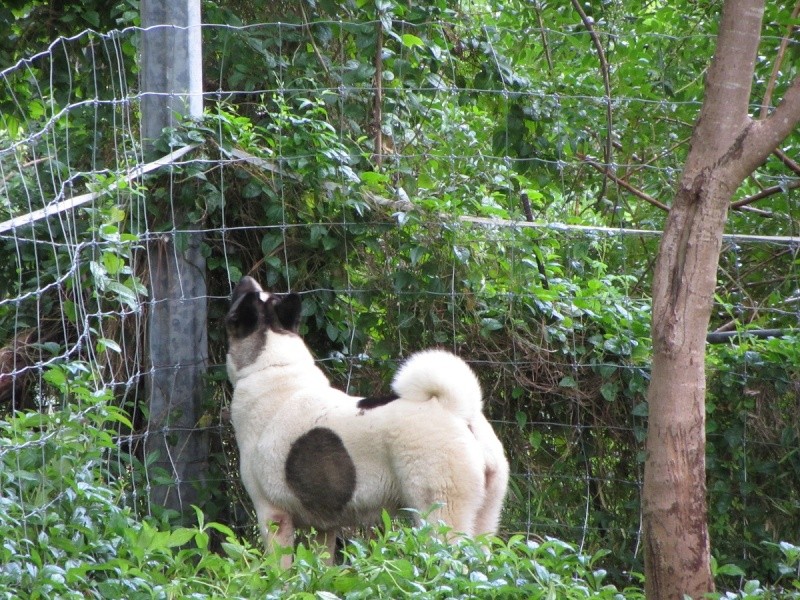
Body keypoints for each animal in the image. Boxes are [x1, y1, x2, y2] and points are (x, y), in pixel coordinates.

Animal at [223, 276, 512, 564]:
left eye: (238, 307)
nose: (246, 278)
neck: (271, 366)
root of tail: (455, 409)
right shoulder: (324, 528)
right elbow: (319, 565)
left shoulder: (273, 518)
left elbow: (279, 567)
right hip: (484, 518)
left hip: (438, 516)